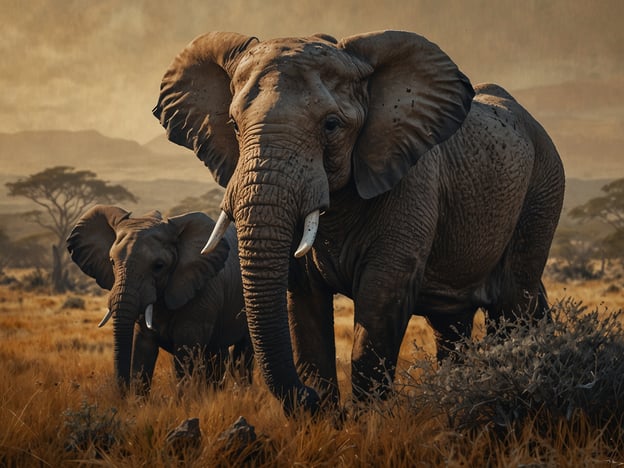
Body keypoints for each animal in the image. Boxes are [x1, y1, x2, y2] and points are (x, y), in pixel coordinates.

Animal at [67, 206, 252, 394]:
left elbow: (185, 357)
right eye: (111, 261)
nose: (122, 394)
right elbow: (142, 354)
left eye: (159, 266)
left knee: (241, 356)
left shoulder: (203, 293)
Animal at [152, 31, 564, 414]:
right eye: (235, 126)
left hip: (542, 188)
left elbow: (381, 301)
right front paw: (323, 421)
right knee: (456, 321)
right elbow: (304, 307)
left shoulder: (412, 183)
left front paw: (368, 425)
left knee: (513, 303)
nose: (307, 397)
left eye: (332, 125)